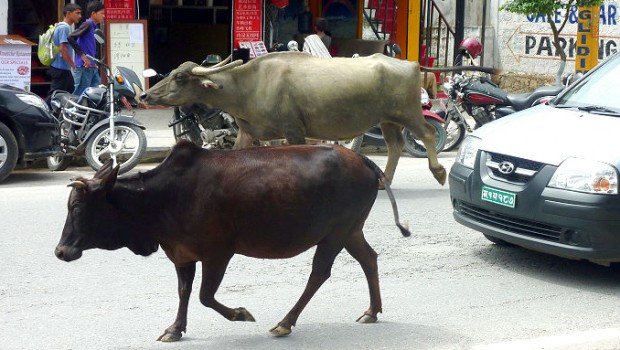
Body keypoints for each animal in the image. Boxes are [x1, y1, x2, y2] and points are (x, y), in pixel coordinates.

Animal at [54, 142, 412, 342]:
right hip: (350, 231)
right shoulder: (182, 254)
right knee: (369, 259)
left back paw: (285, 323)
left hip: (336, 233)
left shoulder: (218, 253)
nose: (60, 251)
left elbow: (204, 296)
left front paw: (241, 314)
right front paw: (175, 329)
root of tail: (363, 159)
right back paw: (371, 311)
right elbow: (184, 292)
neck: (161, 197)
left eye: (78, 207)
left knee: (319, 273)